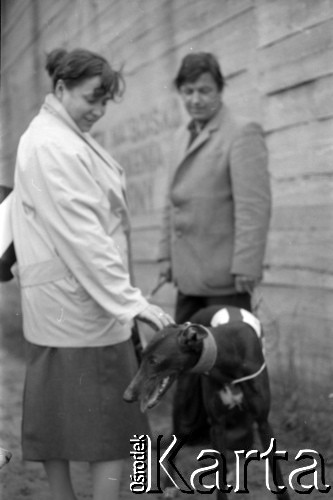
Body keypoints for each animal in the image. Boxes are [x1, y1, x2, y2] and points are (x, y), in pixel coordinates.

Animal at [123, 304, 290, 500]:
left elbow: (275, 470)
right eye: (142, 356)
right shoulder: (217, 425)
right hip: (184, 401)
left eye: (154, 360)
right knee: (177, 438)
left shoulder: (262, 422)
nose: (127, 396)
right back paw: (169, 484)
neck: (230, 350)